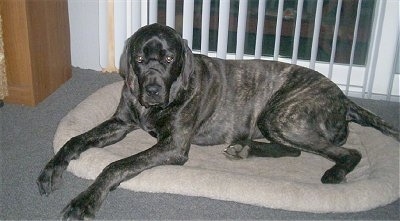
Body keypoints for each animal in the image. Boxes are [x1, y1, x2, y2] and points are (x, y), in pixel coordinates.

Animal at [37, 23, 400, 218]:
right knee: (293, 150)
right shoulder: (120, 123)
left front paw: (85, 201)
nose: (152, 90)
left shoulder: (173, 145)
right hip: (275, 122)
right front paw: (51, 169)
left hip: (282, 115)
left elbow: (116, 166)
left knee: (347, 152)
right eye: (139, 58)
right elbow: (75, 140)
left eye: (169, 58)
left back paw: (334, 173)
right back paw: (244, 149)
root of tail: (344, 97)